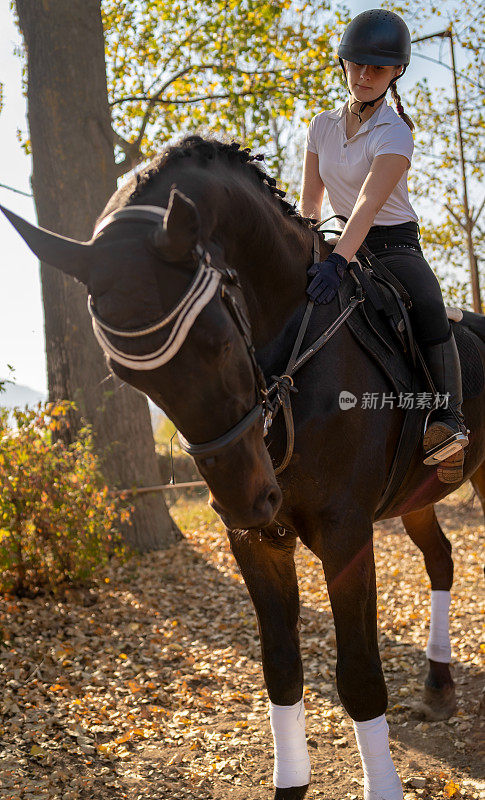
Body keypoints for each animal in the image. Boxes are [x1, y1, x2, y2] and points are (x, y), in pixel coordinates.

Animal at [3, 134, 484, 796]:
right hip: (418, 496)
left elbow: (360, 675)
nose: (249, 499)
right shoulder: (256, 542)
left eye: (217, 342)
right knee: (441, 561)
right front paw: (291, 783)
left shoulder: (345, 533)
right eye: (129, 376)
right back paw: (438, 688)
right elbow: (280, 668)